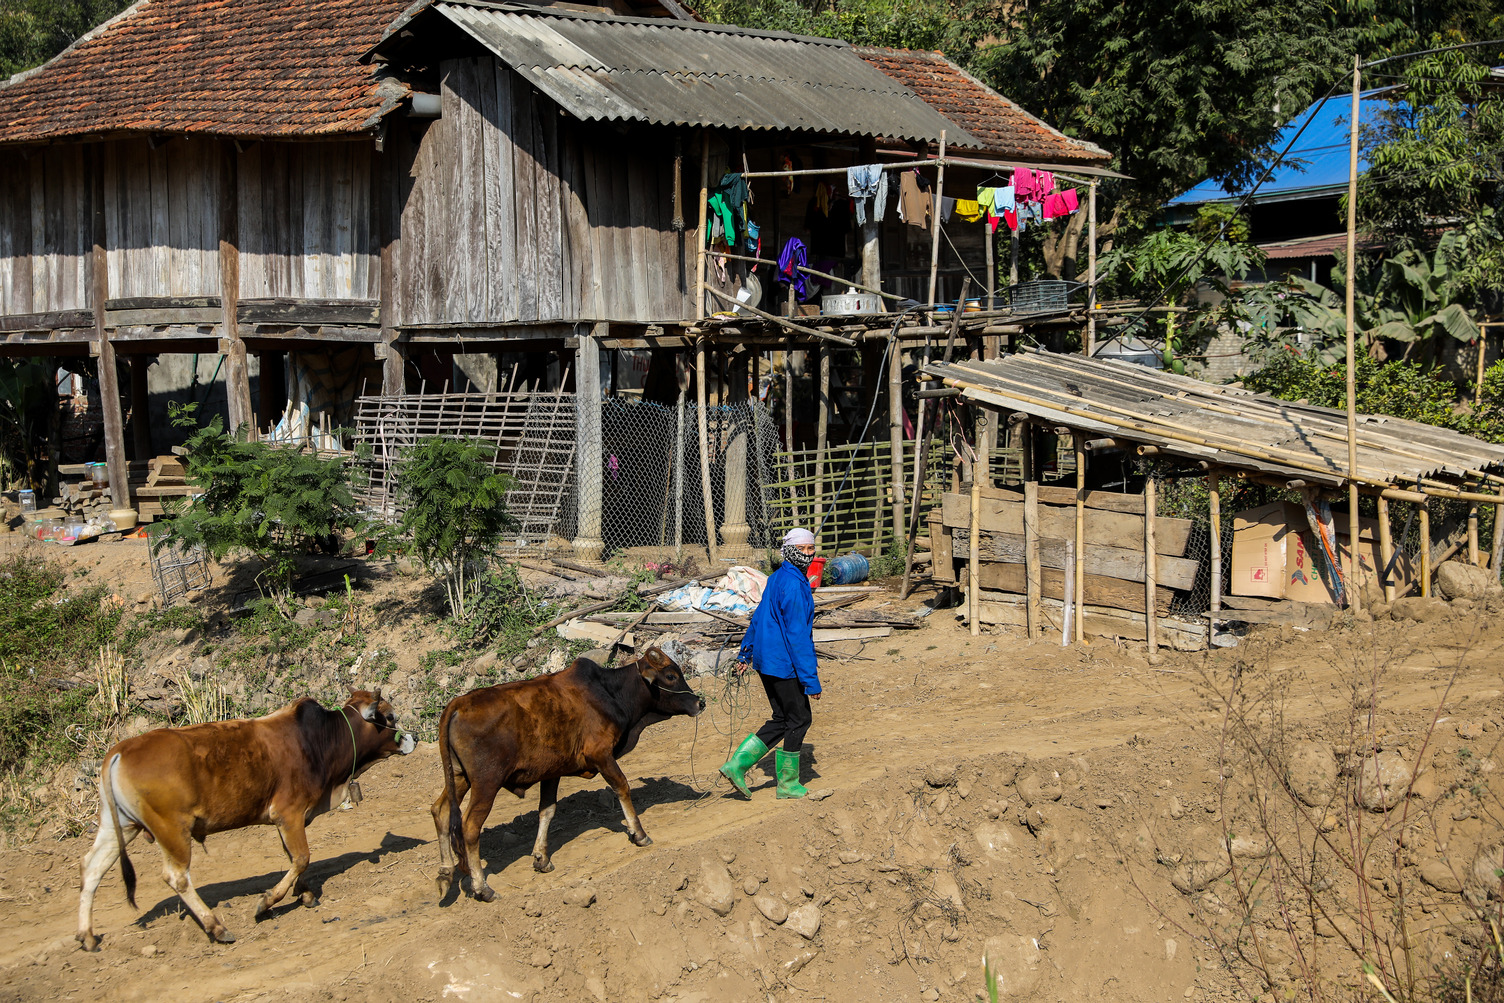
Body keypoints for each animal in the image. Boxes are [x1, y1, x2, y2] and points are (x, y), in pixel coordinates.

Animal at [76, 685, 412, 956]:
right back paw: (217, 927)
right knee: (177, 877)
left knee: (92, 867)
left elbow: (294, 858)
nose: (413, 738)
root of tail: (120, 750)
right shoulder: (288, 813)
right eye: (389, 717)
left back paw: (88, 936)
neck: (319, 741)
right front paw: (267, 903)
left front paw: (304, 895)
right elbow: (302, 857)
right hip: (172, 829)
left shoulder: (289, 820)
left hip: (120, 825)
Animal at [430, 646, 697, 908]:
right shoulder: (601, 754)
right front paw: (639, 834)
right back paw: (483, 888)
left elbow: (547, 810)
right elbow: (622, 787)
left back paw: (445, 873)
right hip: (486, 783)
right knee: (470, 827)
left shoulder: (552, 772)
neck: (610, 692)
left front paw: (541, 858)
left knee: (441, 811)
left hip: (459, 777)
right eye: (671, 676)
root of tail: (458, 704)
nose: (700, 702)